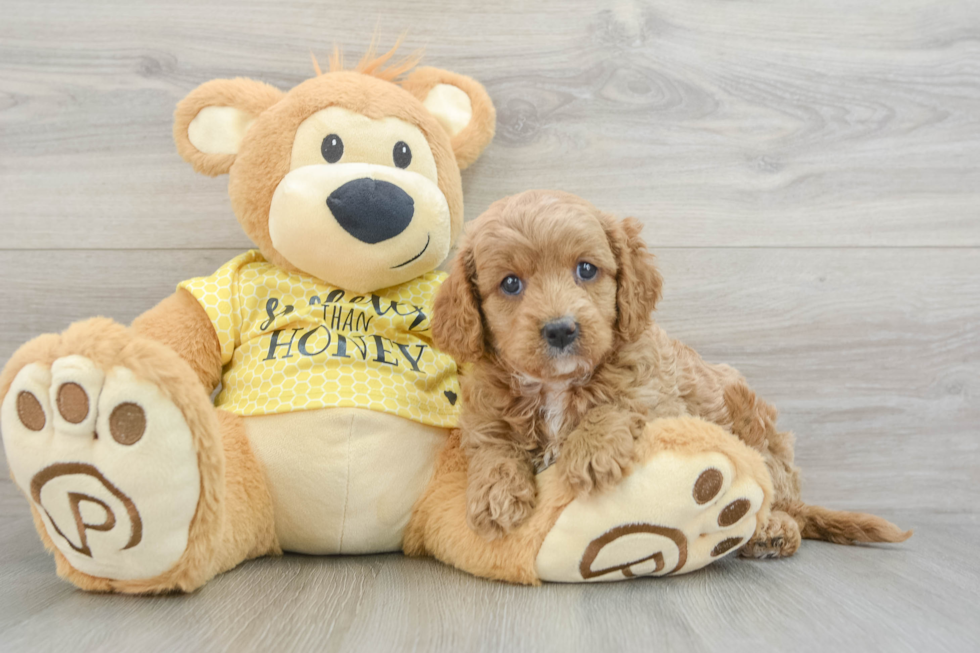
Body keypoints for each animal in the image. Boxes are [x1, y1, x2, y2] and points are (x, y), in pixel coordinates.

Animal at [432, 187, 908, 556]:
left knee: (779, 504)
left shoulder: (657, 393)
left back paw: (771, 532)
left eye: (586, 269)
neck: (555, 386)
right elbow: (494, 450)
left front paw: (592, 450)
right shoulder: (486, 416)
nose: (561, 329)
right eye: (510, 283)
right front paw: (495, 498)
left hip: (756, 429)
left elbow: (619, 402)